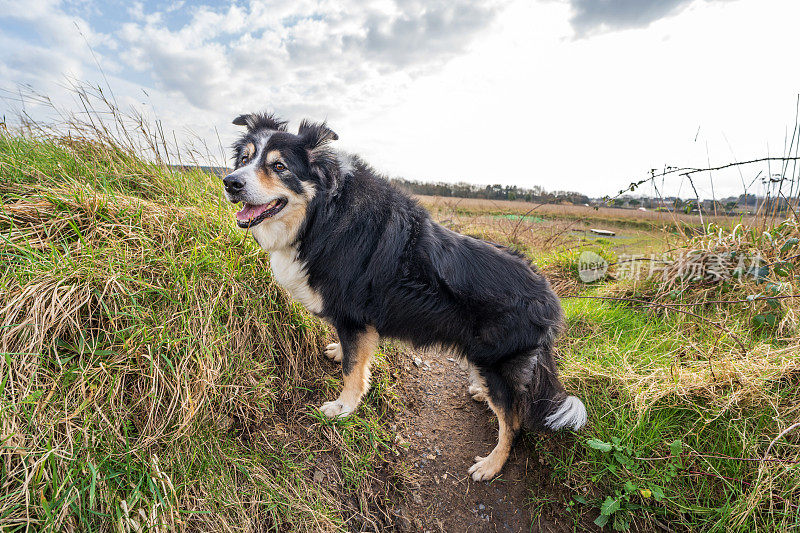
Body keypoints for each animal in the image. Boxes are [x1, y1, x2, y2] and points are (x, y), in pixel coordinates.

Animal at [222, 113, 584, 482]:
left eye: (279, 166)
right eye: (244, 159)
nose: (230, 182)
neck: (322, 214)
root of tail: (548, 298)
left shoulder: (353, 316)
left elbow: (353, 371)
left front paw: (343, 407)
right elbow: (355, 356)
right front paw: (339, 352)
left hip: (496, 359)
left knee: (513, 420)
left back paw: (492, 463)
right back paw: (480, 392)